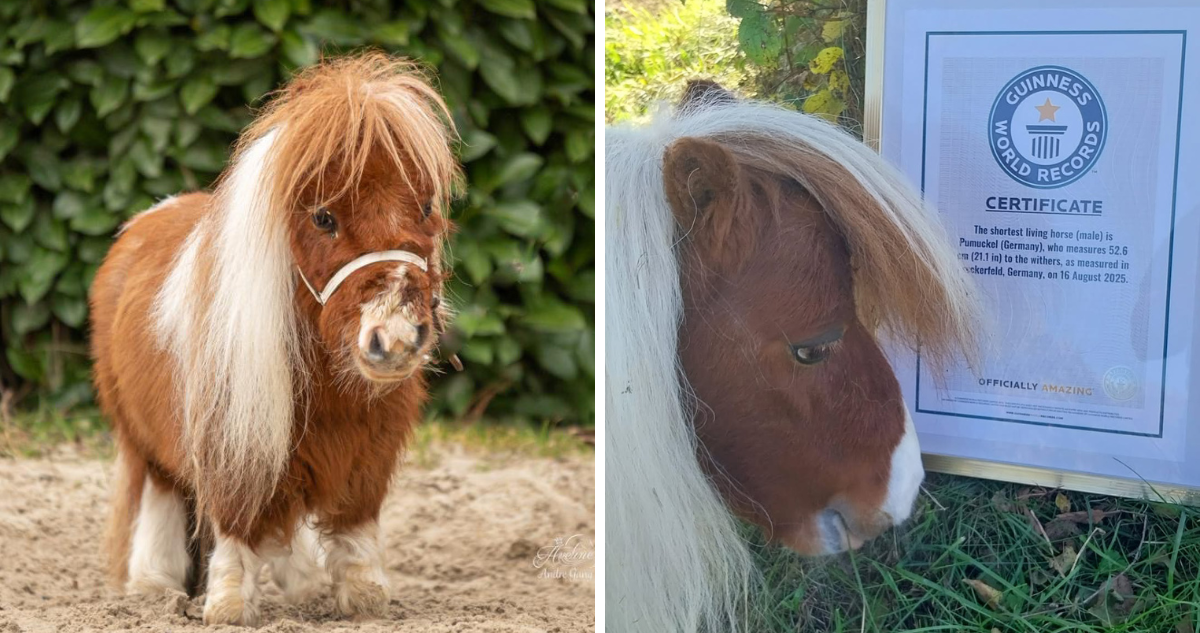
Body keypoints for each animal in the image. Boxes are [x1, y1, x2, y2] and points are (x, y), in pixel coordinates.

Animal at [89, 53, 460, 625]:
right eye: (324, 217)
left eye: (423, 208)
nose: (395, 339)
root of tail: (143, 223)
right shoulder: (232, 439)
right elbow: (236, 524)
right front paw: (227, 605)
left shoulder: (369, 446)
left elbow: (354, 524)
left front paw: (364, 597)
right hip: (140, 437)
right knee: (163, 494)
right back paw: (154, 584)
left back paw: (300, 584)